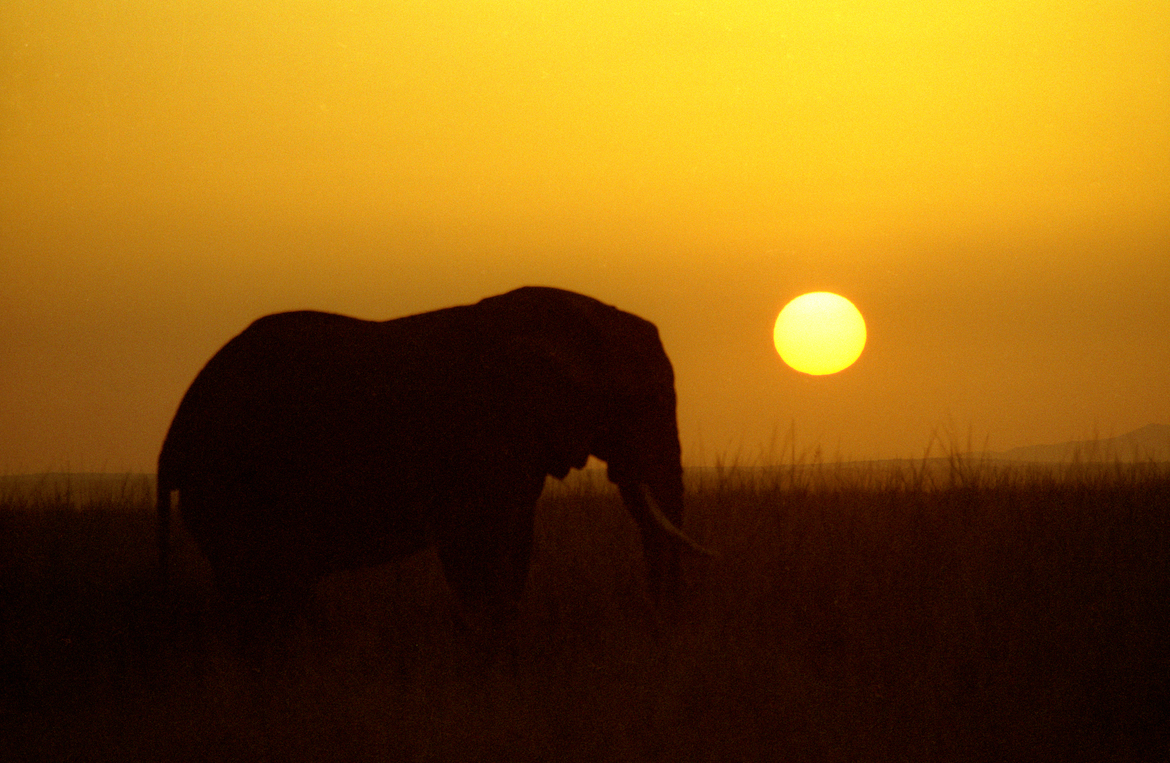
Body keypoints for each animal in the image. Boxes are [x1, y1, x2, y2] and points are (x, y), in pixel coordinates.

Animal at [157, 286, 708, 645]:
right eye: (648, 401)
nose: (661, 624)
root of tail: (173, 436)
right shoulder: (483, 434)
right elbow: (480, 546)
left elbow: (513, 544)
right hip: (233, 481)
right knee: (265, 589)